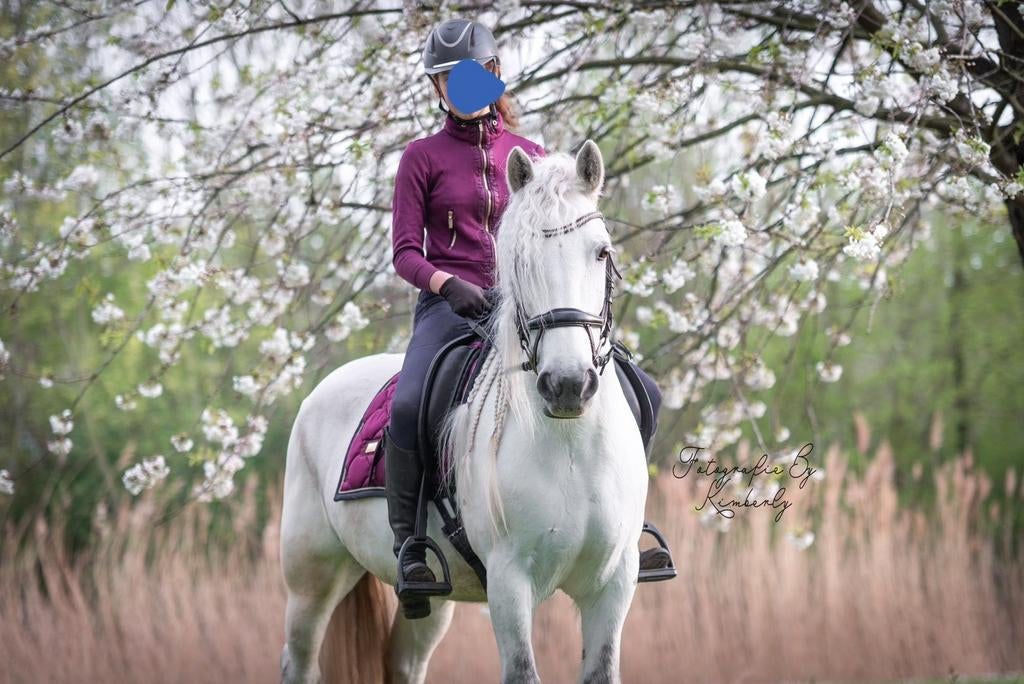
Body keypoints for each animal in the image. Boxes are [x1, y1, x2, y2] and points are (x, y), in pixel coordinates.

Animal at [279, 139, 650, 684]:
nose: (566, 385)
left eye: (601, 252)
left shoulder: (613, 584)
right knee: (299, 660)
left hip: (432, 603)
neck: (571, 446)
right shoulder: (510, 584)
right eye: (518, 259)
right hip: (311, 582)